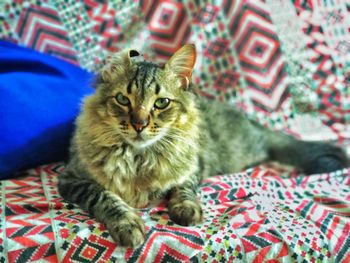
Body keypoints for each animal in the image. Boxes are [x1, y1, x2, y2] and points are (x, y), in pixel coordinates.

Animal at [57, 43, 348, 248]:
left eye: (161, 103)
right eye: (123, 100)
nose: (139, 124)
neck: (141, 156)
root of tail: (251, 122)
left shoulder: (193, 166)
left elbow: (183, 189)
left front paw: (187, 209)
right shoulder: (72, 178)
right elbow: (106, 197)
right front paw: (128, 224)